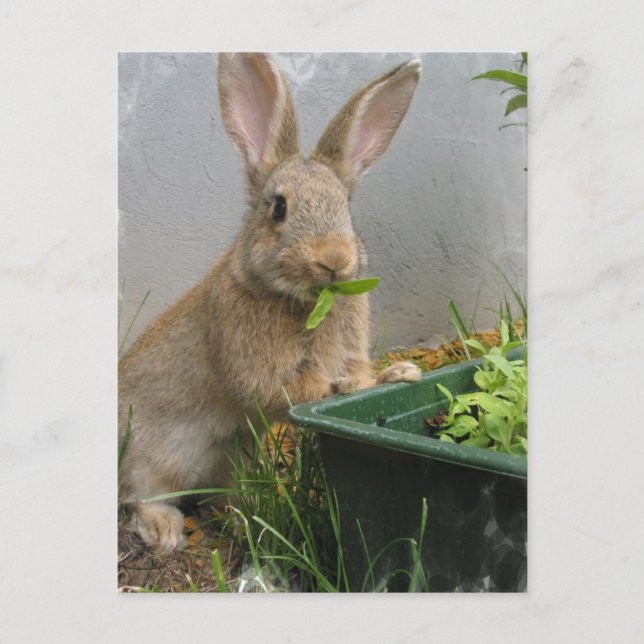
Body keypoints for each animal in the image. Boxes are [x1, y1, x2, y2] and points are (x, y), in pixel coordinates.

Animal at [119, 53, 423, 554]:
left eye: (345, 207)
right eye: (278, 208)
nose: (334, 260)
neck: (304, 299)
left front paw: (401, 374)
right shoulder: (258, 369)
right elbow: (292, 391)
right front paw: (350, 387)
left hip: (237, 456)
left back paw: (246, 516)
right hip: (152, 455)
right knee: (142, 496)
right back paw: (165, 529)